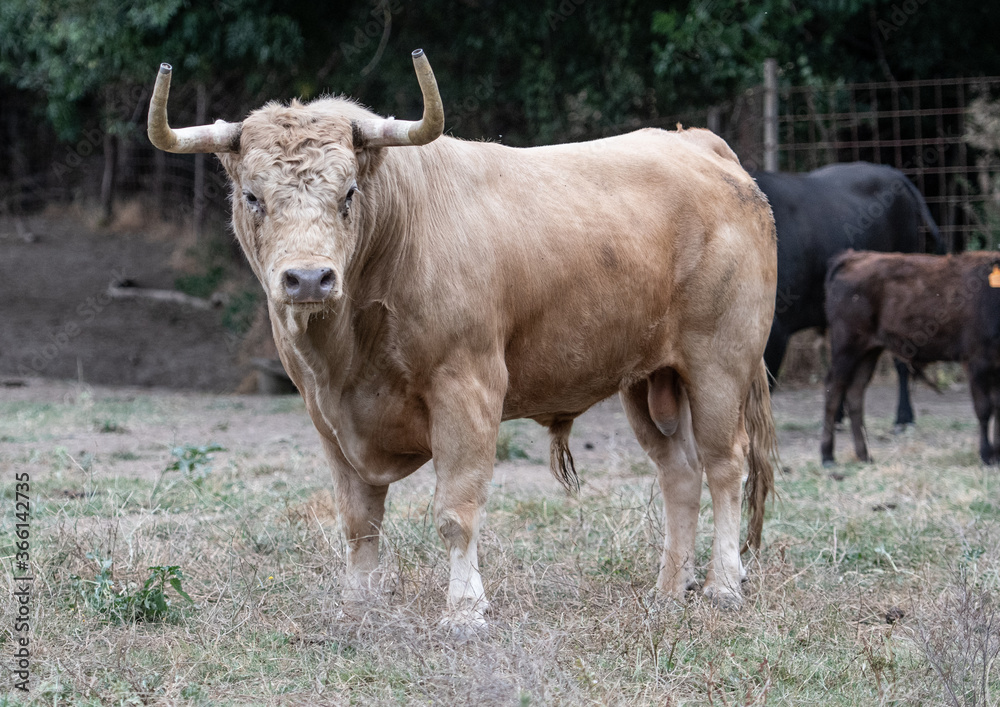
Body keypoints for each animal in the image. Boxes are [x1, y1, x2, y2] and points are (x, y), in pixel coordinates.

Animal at [146, 49, 780, 628]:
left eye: (348, 193)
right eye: (253, 196)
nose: (307, 278)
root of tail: (699, 146)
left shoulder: (467, 387)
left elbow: (456, 509)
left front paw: (465, 610)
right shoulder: (326, 414)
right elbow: (357, 518)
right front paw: (358, 604)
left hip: (719, 362)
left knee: (726, 466)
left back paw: (724, 585)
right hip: (649, 379)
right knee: (680, 473)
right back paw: (669, 591)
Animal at [820, 249, 1000, 464]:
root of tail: (853, 257)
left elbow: (999, 408)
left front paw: (998, 454)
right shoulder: (977, 360)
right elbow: (984, 408)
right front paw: (986, 455)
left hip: (869, 351)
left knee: (855, 393)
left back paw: (864, 455)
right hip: (846, 346)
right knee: (833, 389)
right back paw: (827, 456)